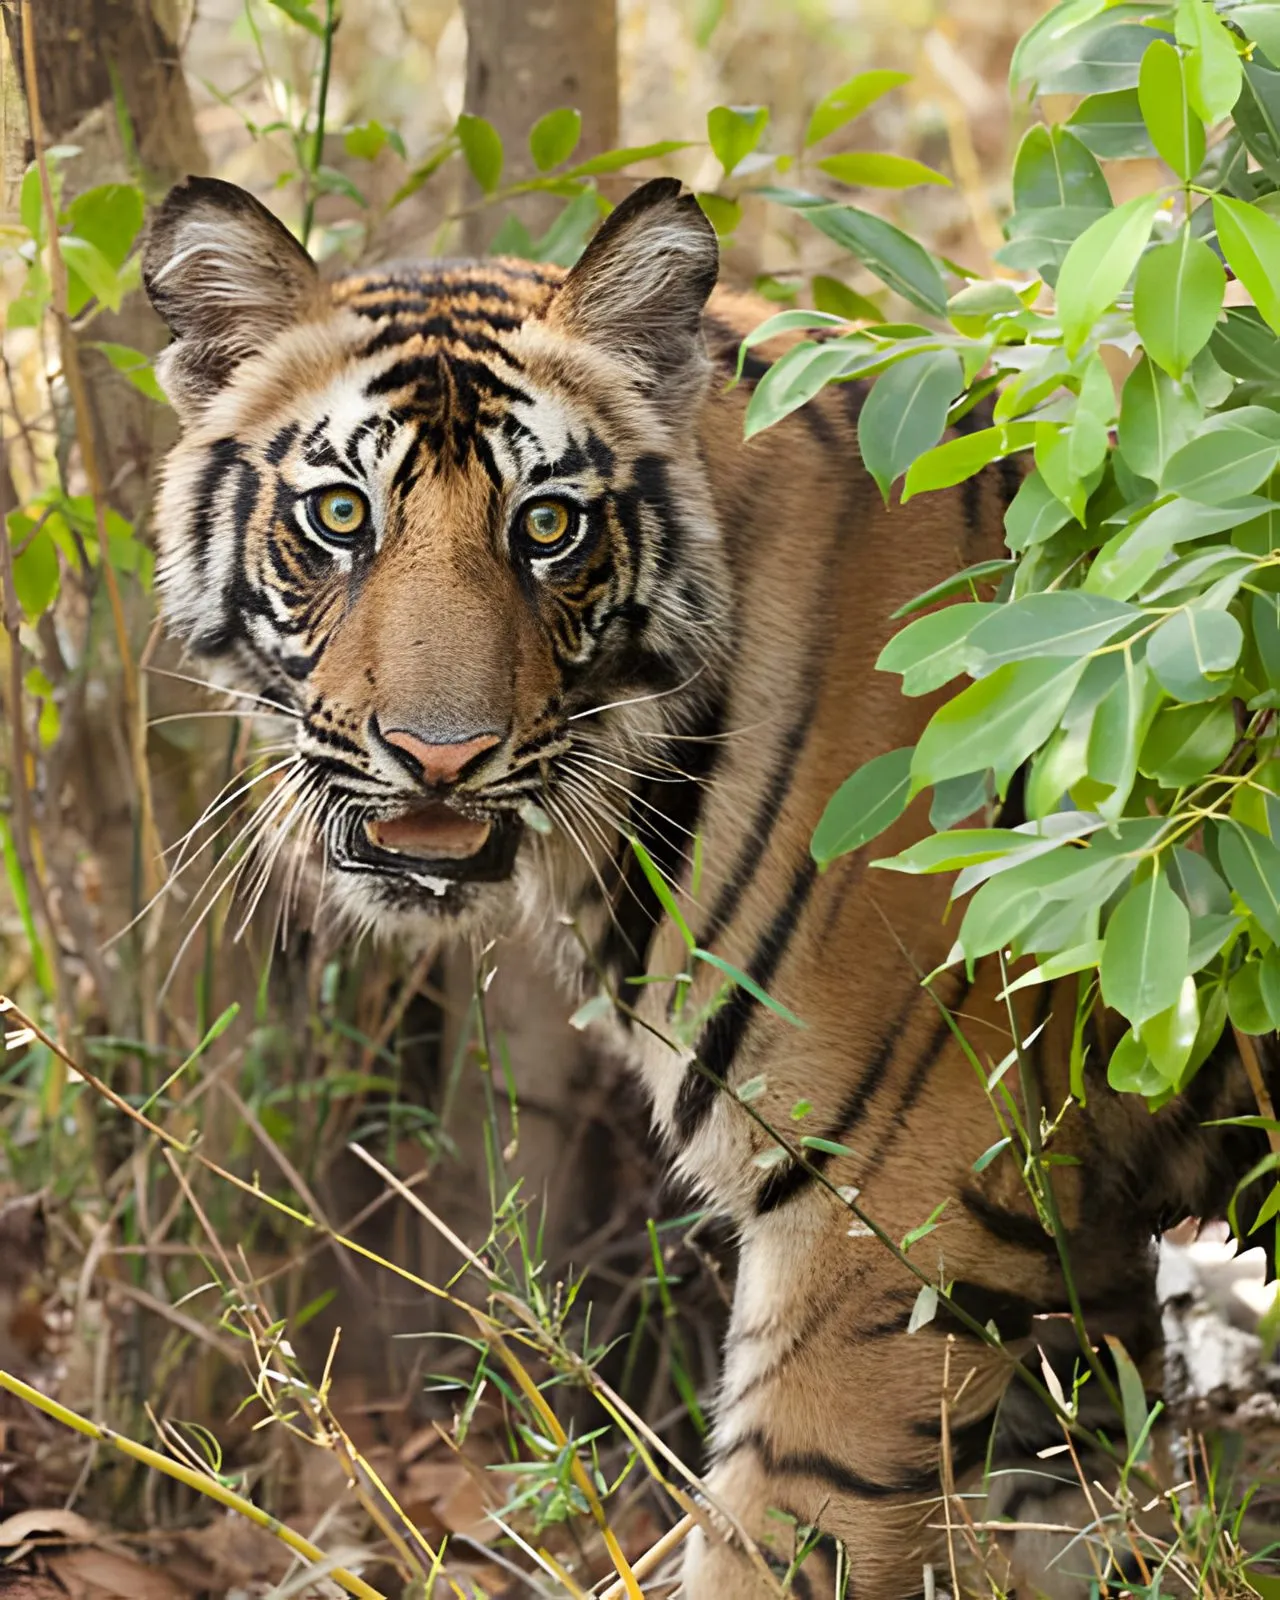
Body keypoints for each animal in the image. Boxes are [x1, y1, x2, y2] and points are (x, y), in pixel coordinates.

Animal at [142, 173, 1277, 1598]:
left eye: (547, 525)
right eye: (340, 515)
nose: (440, 755)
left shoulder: (894, 1223)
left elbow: (776, 1540)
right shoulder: (1063, 1259)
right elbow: (1072, 1512)